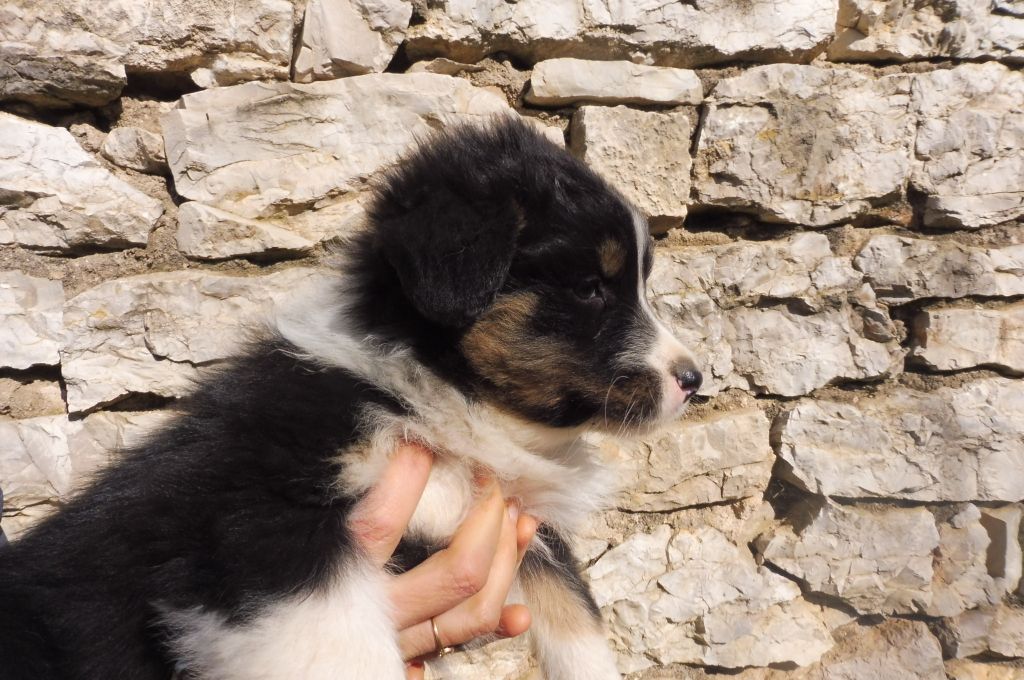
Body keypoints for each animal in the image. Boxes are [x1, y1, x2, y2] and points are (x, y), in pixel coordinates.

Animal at [0, 117, 701, 680]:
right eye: (589, 289)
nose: (695, 380)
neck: (447, 402)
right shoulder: (264, 522)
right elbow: (339, 646)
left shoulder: (524, 525)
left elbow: (578, 614)